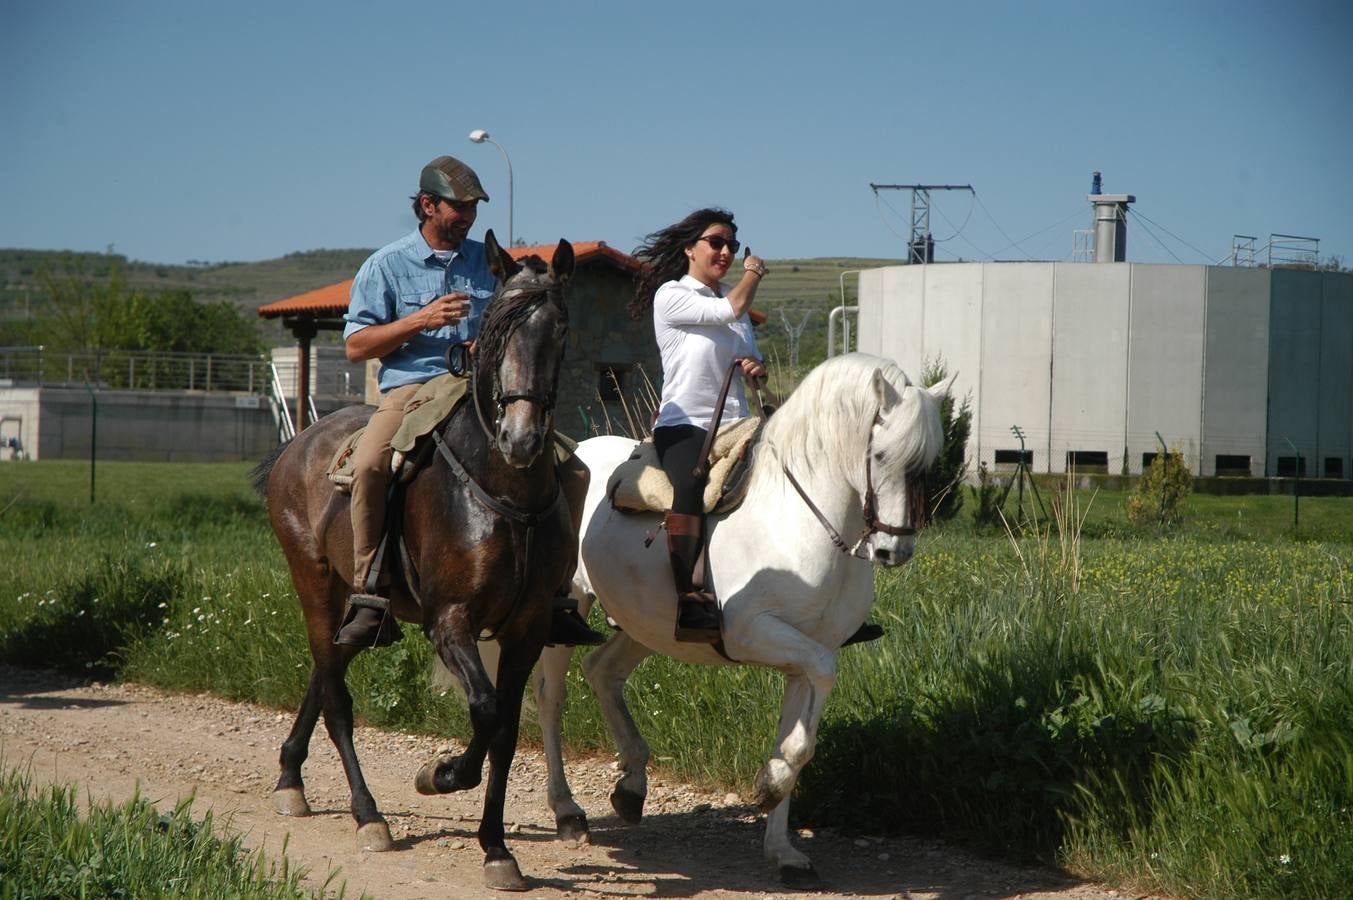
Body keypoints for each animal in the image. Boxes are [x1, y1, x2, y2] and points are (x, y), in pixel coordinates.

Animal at [254, 232, 576, 893]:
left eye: (559, 328)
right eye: (497, 327)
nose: (523, 439)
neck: (501, 487)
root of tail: (297, 444)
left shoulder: (529, 629)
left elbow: (506, 729)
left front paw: (496, 848)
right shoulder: (449, 621)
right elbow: (485, 711)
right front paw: (441, 774)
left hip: (357, 609)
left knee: (327, 671)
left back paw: (291, 778)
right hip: (313, 582)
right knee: (337, 698)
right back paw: (367, 815)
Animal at [533, 351, 947, 882]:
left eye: (925, 465)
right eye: (879, 456)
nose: (893, 550)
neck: (799, 517)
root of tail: (577, 452)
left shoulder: (804, 656)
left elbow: (798, 735)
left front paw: (782, 842)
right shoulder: (754, 633)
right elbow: (819, 687)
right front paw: (770, 785)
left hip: (648, 625)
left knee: (603, 671)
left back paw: (631, 786)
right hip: (568, 610)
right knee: (552, 698)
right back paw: (568, 812)